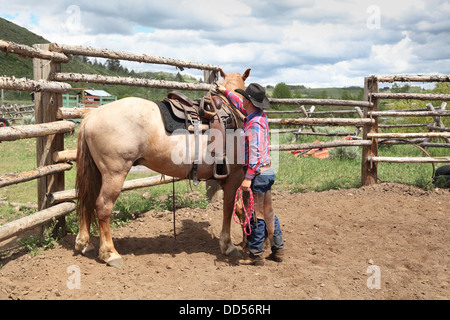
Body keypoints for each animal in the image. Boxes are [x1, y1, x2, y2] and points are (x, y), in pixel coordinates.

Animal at [74, 68, 250, 268]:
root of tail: (92, 116)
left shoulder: (224, 178)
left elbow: (239, 209)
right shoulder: (234, 177)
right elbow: (229, 209)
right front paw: (228, 245)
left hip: (96, 172)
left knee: (87, 200)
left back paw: (84, 243)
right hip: (114, 174)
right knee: (103, 206)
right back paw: (110, 254)